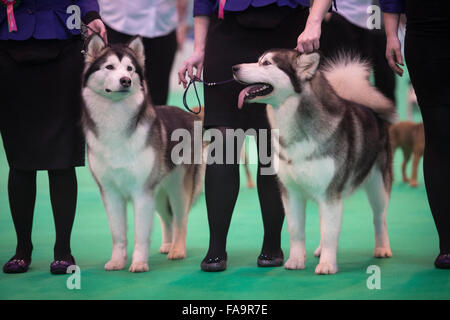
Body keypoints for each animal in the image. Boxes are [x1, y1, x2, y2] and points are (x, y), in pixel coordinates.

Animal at [82, 35, 204, 272]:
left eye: (130, 69)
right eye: (109, 67)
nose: (126, 80)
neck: (115, 120)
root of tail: (190, 115)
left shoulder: (141, 190)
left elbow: (141, 232)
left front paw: (139, 263)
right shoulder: (110, 192)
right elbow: (118, 233)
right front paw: (117, 261)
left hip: (177, 187)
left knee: (180, 219)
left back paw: (177, 249)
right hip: (159, 192)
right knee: (167, 219)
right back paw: (167, 245)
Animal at [234, 50, 396, 276]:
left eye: (266, 63)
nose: (234, 68)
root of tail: (372, 111)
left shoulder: (329, 194)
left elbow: (329, 232)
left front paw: (327, 265)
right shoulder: (291, 193)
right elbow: (296, 230)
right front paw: (295, 260)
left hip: (378, 186)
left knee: (379, 217)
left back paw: (382, 248)